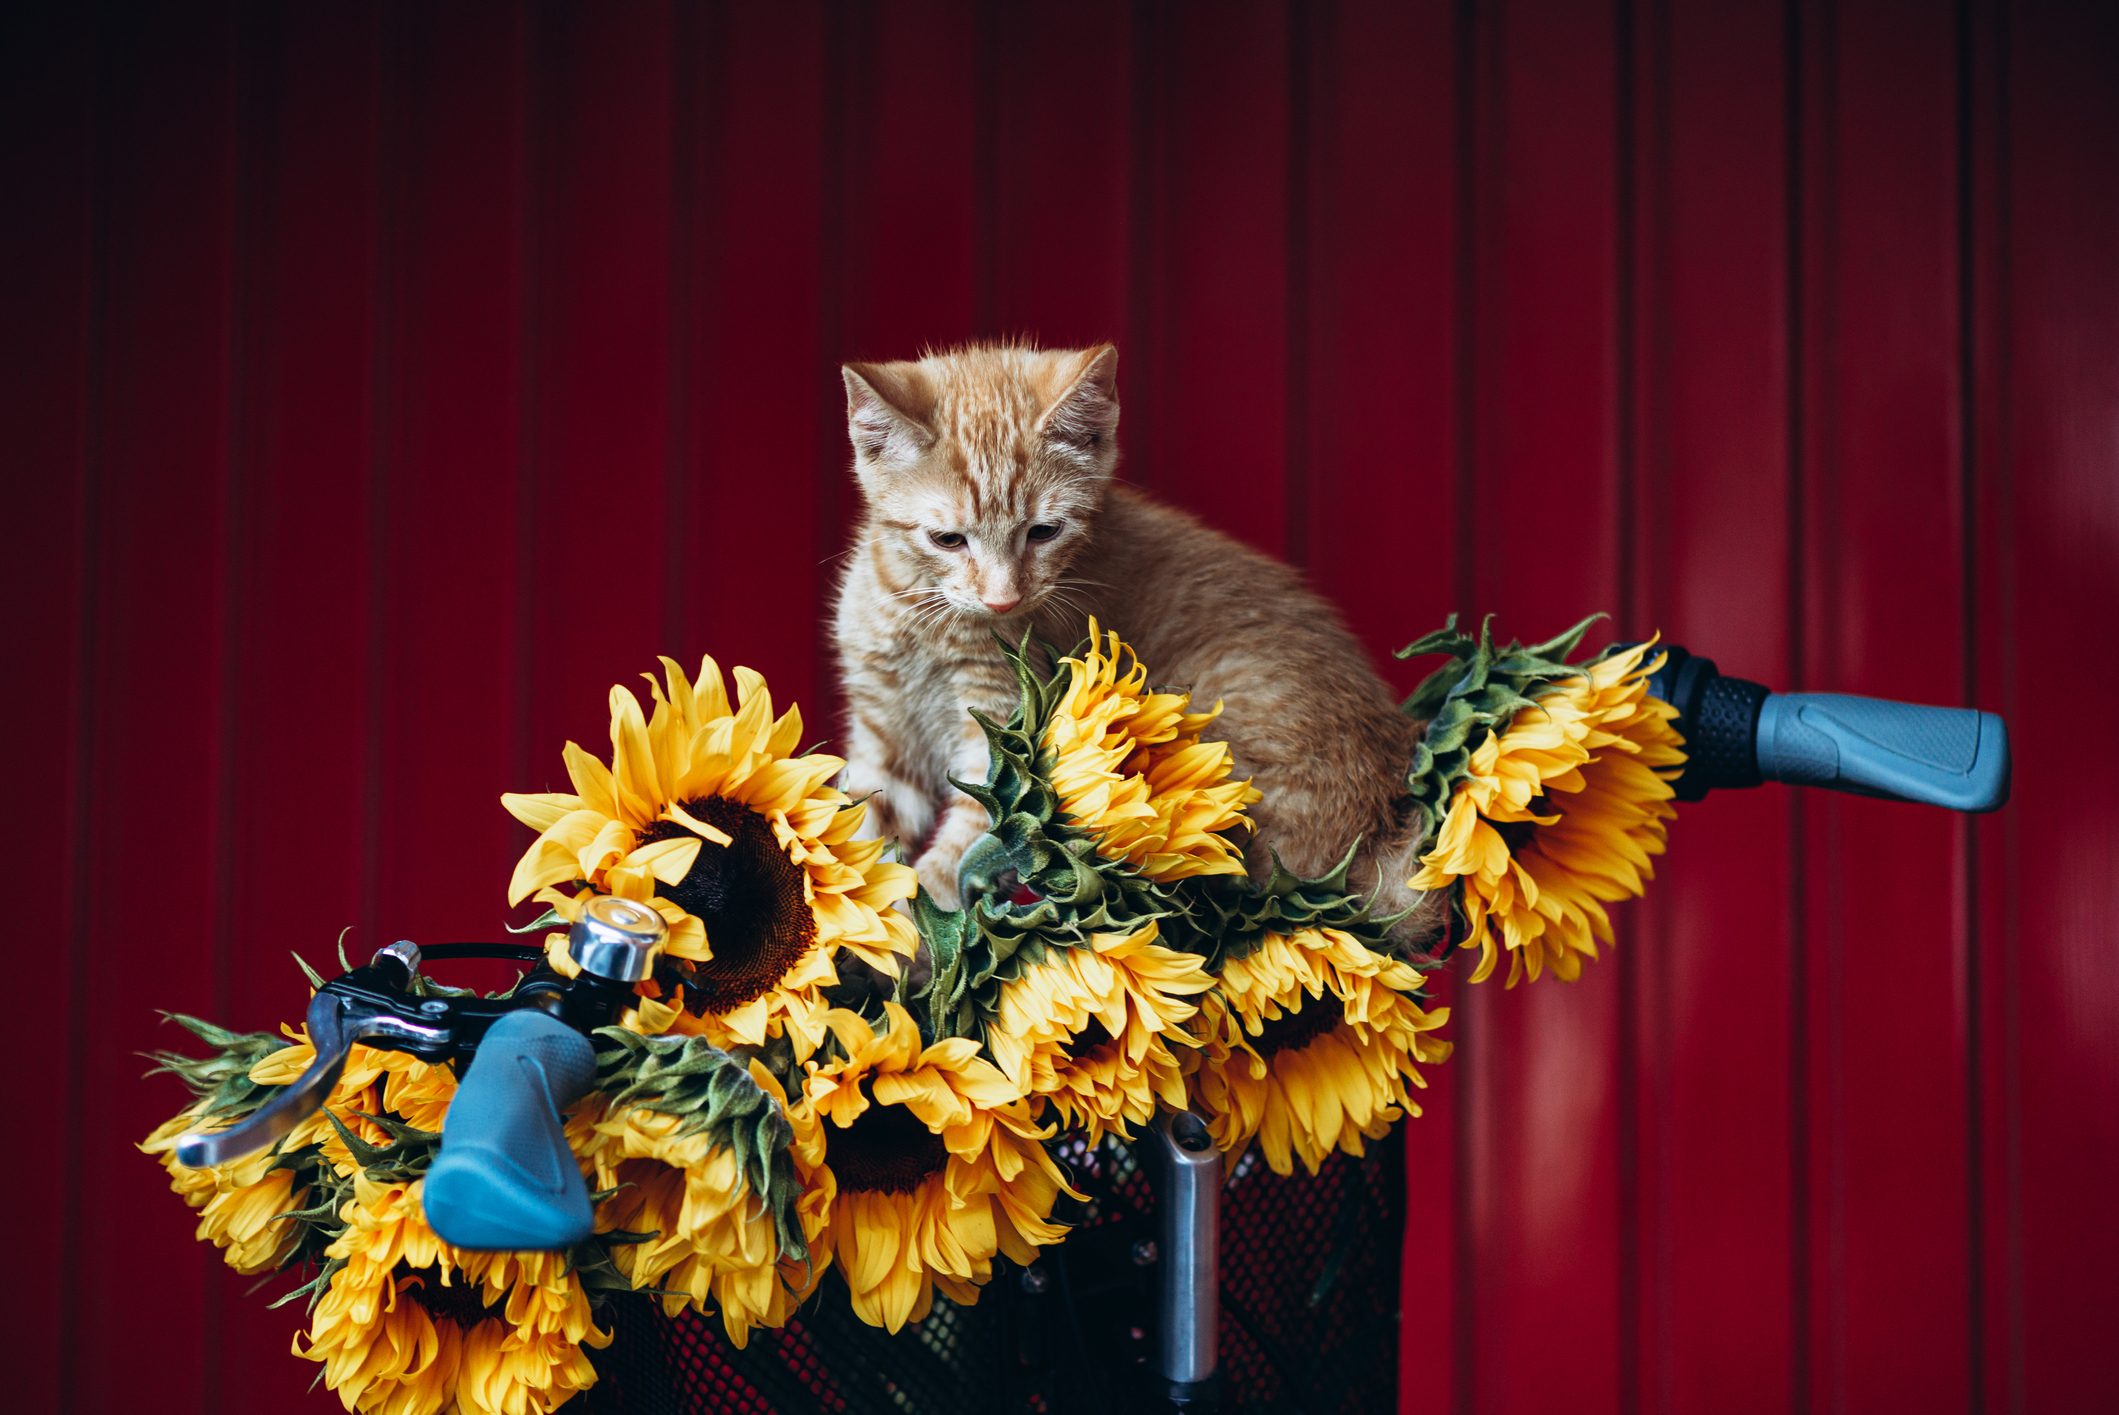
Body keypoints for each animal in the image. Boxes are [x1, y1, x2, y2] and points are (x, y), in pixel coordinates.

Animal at [834, 343, 1432, 940]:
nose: (1003, 600)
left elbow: (956, 850)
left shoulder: (1003, 730)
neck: (922, 617)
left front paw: (909, 929)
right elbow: (861, 823)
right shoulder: (884, 730)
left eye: (1044, 532)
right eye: (947, 540)